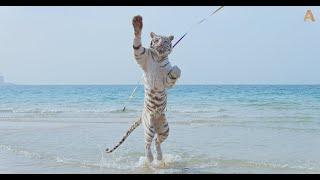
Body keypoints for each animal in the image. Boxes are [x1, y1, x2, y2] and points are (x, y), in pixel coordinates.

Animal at [105, 14, 180, 162]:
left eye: (165, 41)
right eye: (156, 40)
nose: (159, 45)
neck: (158, 58)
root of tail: (141, 115)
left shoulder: (166, 81)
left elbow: (173, 74)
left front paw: (176, 70)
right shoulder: (140, 55)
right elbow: (137, 43)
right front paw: (137, 23)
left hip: (165, 129)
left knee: (157, 141)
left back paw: (159, 157)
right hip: (149, 127)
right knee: (147, 143)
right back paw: (150, 159)